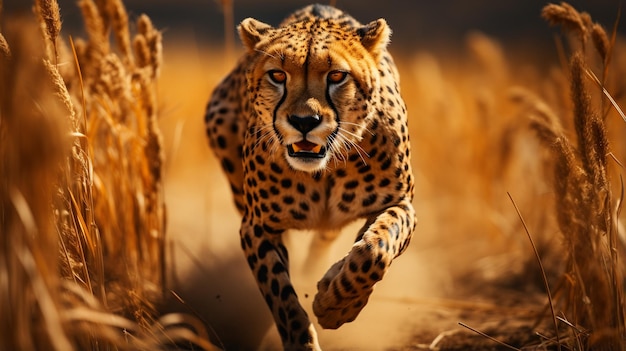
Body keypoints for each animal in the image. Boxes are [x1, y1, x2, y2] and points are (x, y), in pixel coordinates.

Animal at [202, 4, 414, 350]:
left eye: (337, 76)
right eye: (277, 75)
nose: (304, 121)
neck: (323, 171)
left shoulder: (400, 203)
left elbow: (375, 250)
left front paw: (335, 303)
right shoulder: (256, 227)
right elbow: (282, 299)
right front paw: (303, 336)